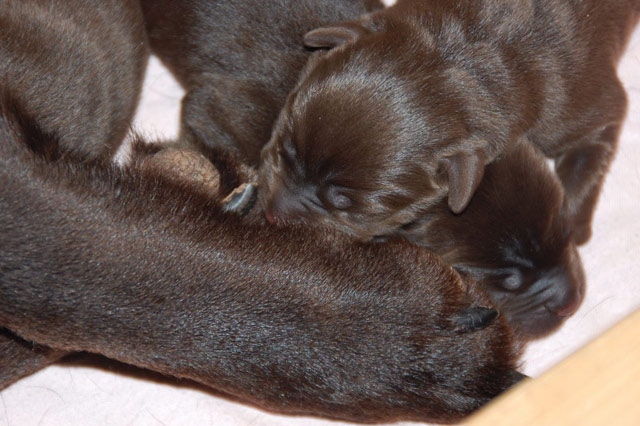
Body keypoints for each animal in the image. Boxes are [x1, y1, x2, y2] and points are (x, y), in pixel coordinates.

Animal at [259, 0, 639, 245]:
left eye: (343, 203)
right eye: (285, 147)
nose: (271, 214)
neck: (464, 51)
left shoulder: (579, 105)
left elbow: (593, 145)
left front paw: (571, 228)